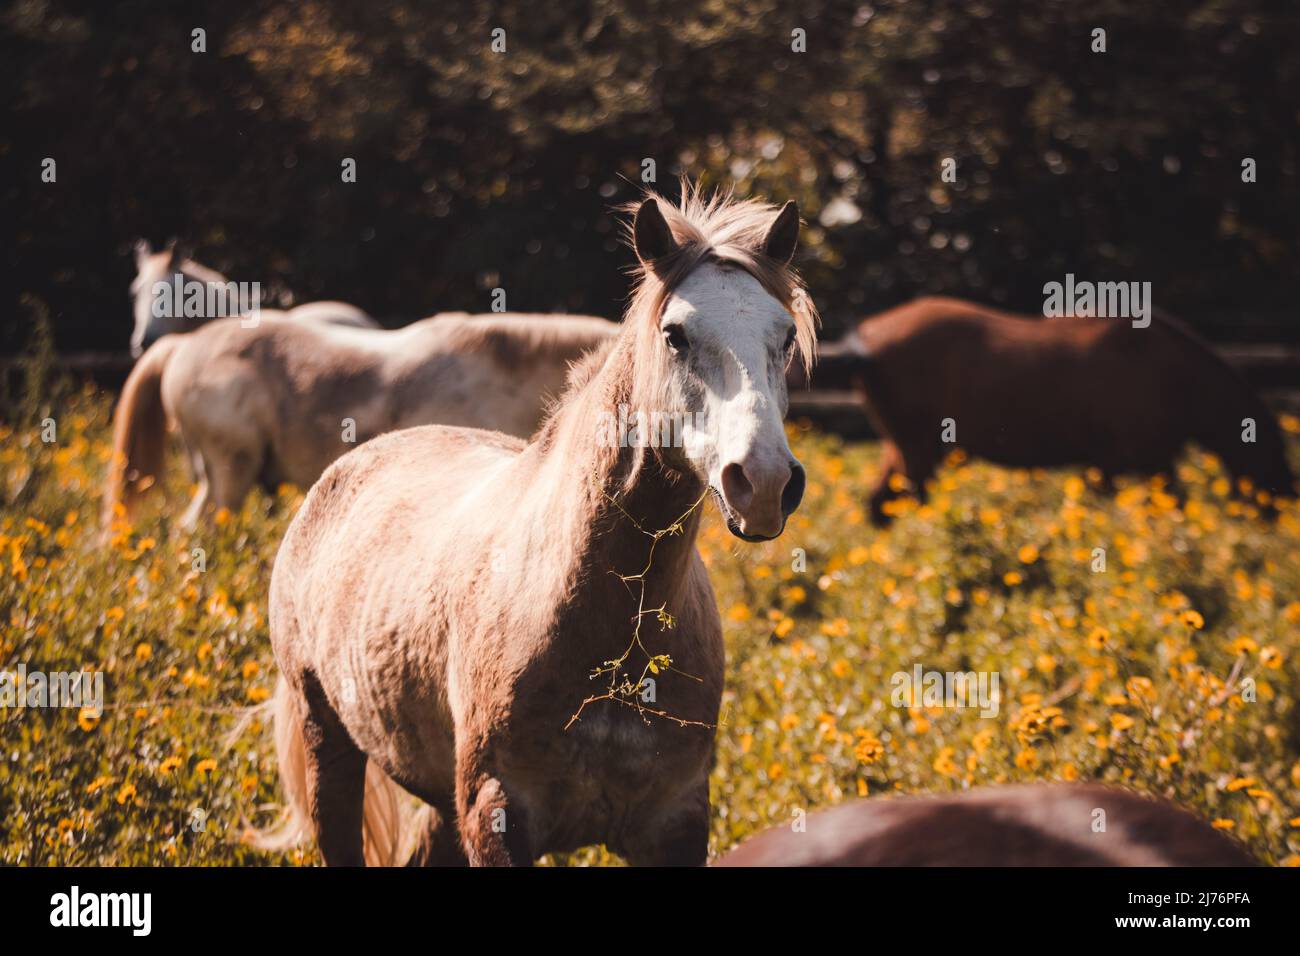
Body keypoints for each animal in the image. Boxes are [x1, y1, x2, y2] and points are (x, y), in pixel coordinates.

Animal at [255, 186, 818, 866]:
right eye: (675, 335)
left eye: (784, 337)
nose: (763, 481)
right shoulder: (496, 815)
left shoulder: (676, 822)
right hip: (329, 747)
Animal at [839, 297, 1295, 525]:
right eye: (1272, 471)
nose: (1274, 519)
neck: (1167, 370)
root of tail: (869, 334)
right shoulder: (1140, 462)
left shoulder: (1118, 463)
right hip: (917, 449)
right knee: (910, 501)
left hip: (901, 447)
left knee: (880, 505)